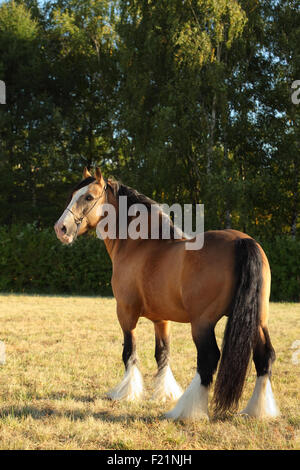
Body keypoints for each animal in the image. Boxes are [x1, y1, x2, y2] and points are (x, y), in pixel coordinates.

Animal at [53, 167, 278, 420]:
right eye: (72, 194)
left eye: (89, 197)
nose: (61, 229)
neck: (141, 245)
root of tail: (242, 241)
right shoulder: (162, 319)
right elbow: (162, 354)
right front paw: (164, 393)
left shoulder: (126, 313)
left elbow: (129, 352)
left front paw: (127, 393)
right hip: (258, 319)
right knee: (264, 357)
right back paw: (257, 410)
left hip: (202, 323)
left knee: (208, 359)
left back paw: (187, 412)